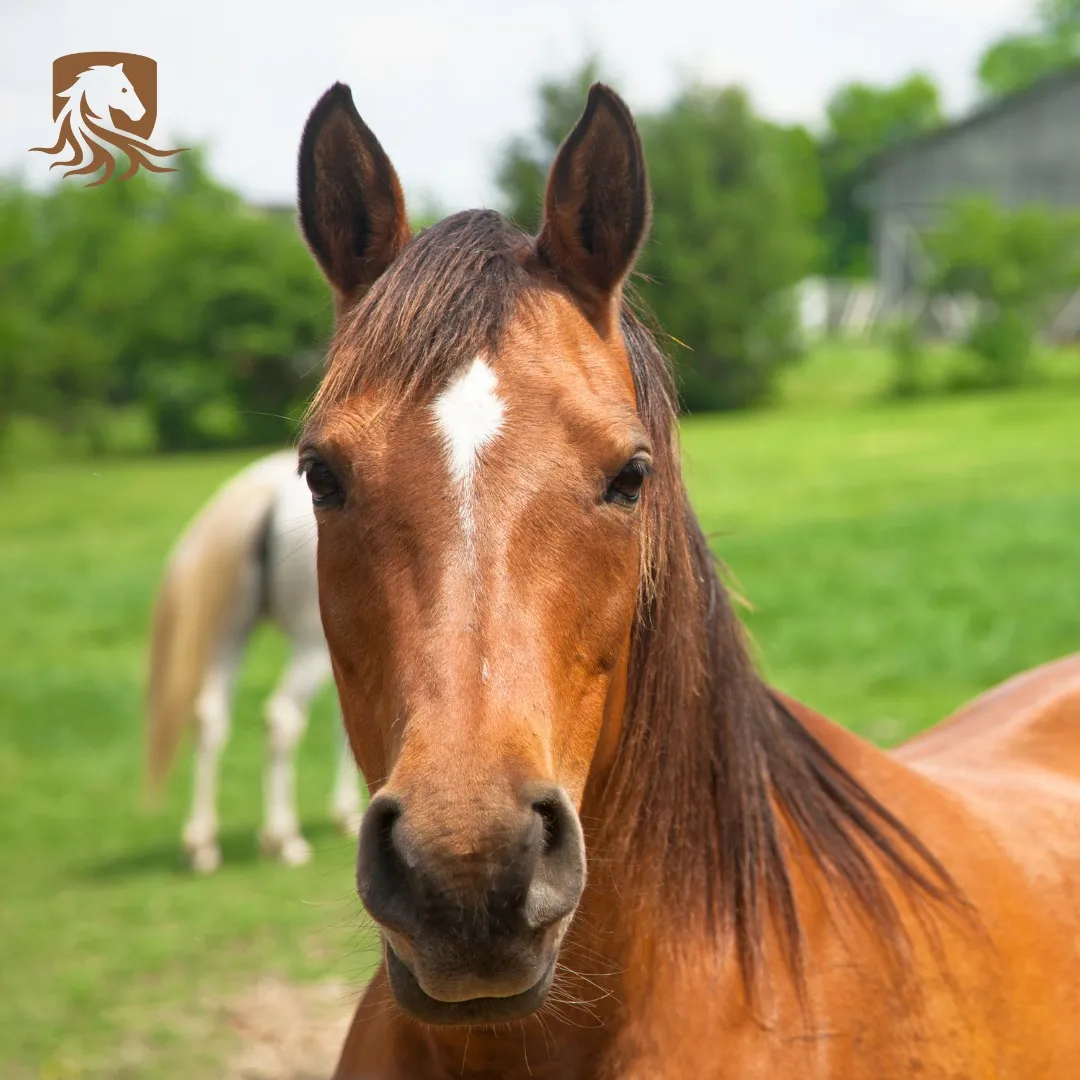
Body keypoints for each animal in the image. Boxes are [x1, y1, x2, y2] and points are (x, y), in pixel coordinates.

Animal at [146, 451, 361, 873]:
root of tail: (266, 492)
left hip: (229, 633)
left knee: (210, 717)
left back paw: (201, 844)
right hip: (310, 643)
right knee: (282, 718)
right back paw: (283, 839)